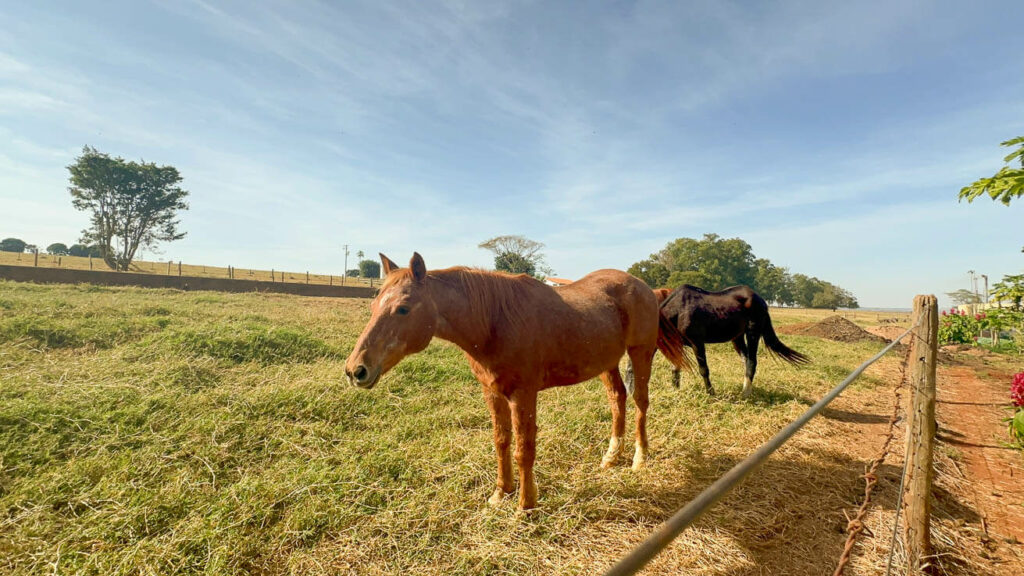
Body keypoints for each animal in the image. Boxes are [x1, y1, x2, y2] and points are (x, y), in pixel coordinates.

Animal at [344, 251, 688, 506]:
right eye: (374, 304)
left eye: (403, 308)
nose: (356, 370)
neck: (495, 320)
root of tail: (645, 287)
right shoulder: (493, 392)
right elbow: (501, 442)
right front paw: (501, 493)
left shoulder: (524, 395)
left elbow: (524, 449)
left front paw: (526, 505)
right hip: (607, 362)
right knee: (618, 399)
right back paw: (610, 458)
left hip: (640, 354)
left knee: (640, 401)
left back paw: (639, 458)